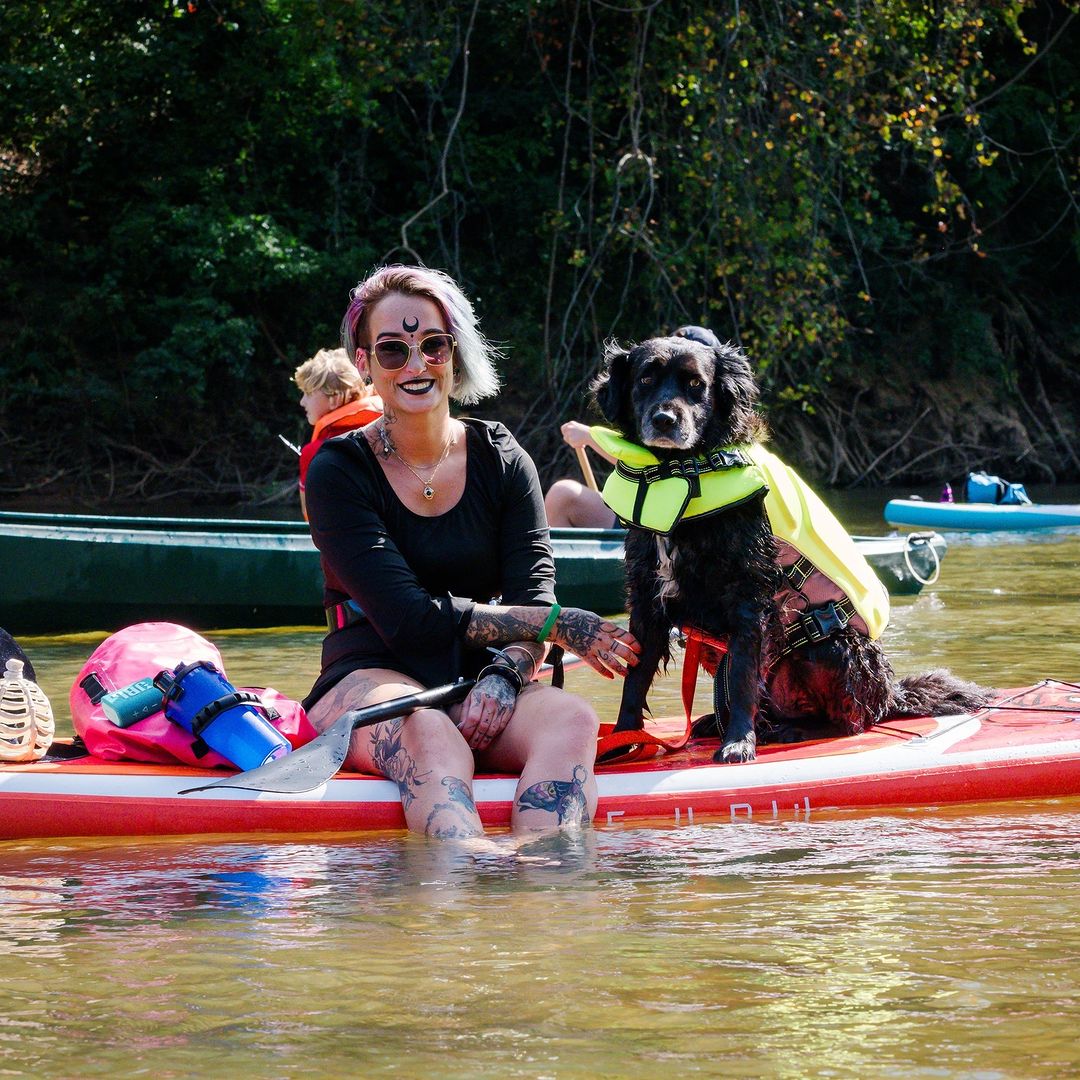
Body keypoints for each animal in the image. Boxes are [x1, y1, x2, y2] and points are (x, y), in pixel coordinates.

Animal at [591, 332, 993, 764]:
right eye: (645, 379)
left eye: (696, 384)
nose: (665, 420)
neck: (677, 472)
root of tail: (890, 696)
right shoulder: (647, 594)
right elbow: (635, 679)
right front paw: (622, 739)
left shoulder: (749, 596)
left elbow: (742, 677)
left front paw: (738, 742)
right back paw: (720, 724)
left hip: (833, 645)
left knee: (849, 722)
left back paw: (787, 730)